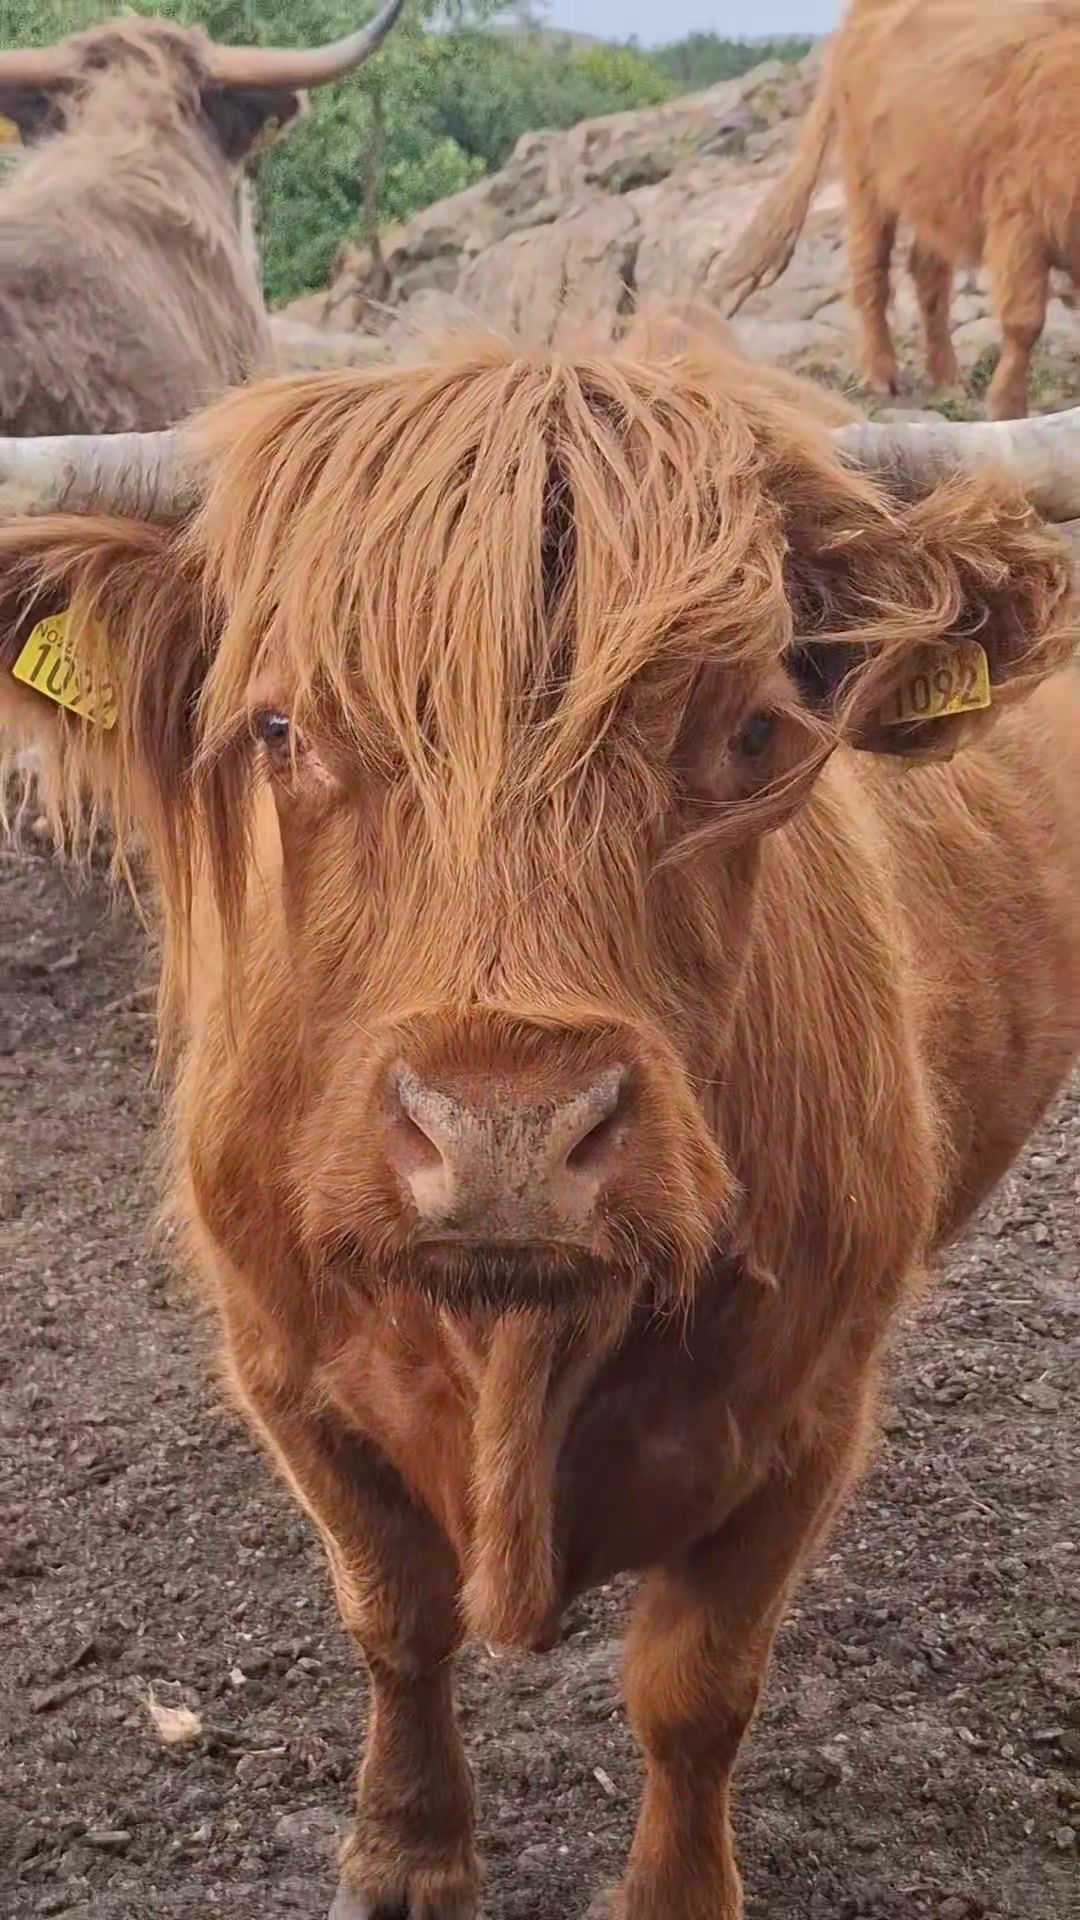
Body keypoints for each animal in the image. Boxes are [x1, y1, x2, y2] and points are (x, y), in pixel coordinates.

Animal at [1, 317, 1078, 1920]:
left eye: (750, 730)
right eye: (282, 726)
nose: (502, 1133)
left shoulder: (810, 1410)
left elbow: (694, 1690)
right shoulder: (284, 1368)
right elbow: (393, 1618)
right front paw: (404, 1858)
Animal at [718, 0, 1080, 422]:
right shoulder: (1019, 216)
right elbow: (1025, 321)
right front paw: (1007, 408)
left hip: (930, 187)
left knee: (927, 271)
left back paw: (945, 377)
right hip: (865, 176)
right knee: (870, 271)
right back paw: (882, 375)